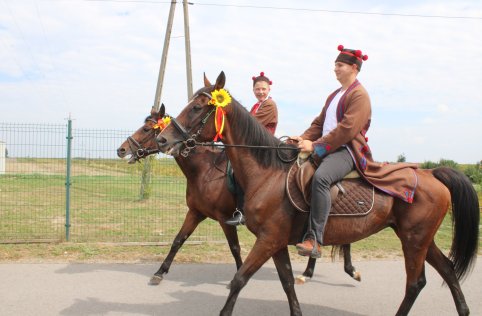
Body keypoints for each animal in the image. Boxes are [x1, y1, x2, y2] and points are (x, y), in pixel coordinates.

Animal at [115, 107, 360, 286]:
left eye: (147, 129)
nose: (121, 149)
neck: (204, 170)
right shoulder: (195, 213)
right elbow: (178, 240)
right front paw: (160, 272)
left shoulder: (225, 219)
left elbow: (234, 248)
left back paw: (332, 270)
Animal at [157, 72, 478, 316]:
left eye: (198, 107)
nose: (162, 139)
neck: (267, 173)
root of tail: (432, 173)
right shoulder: (275, 242)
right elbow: (286, 282)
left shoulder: (268, 239)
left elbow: (239, 279)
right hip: (420, 238)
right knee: (448, 270)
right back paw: (463, 310)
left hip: (414, 239)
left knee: (415, 283)